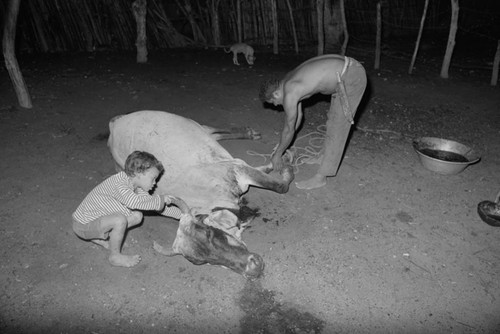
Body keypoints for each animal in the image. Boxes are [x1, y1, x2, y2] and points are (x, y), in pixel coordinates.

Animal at [105, 109, 292, 276]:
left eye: (210, 234)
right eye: (201, 261)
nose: (252, 269)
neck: (206, 195)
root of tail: (115, 123)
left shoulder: (237, 168)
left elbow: (280, 185)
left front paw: (283, 165)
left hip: (193, 123)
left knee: (212, 130)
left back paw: (249, 133)